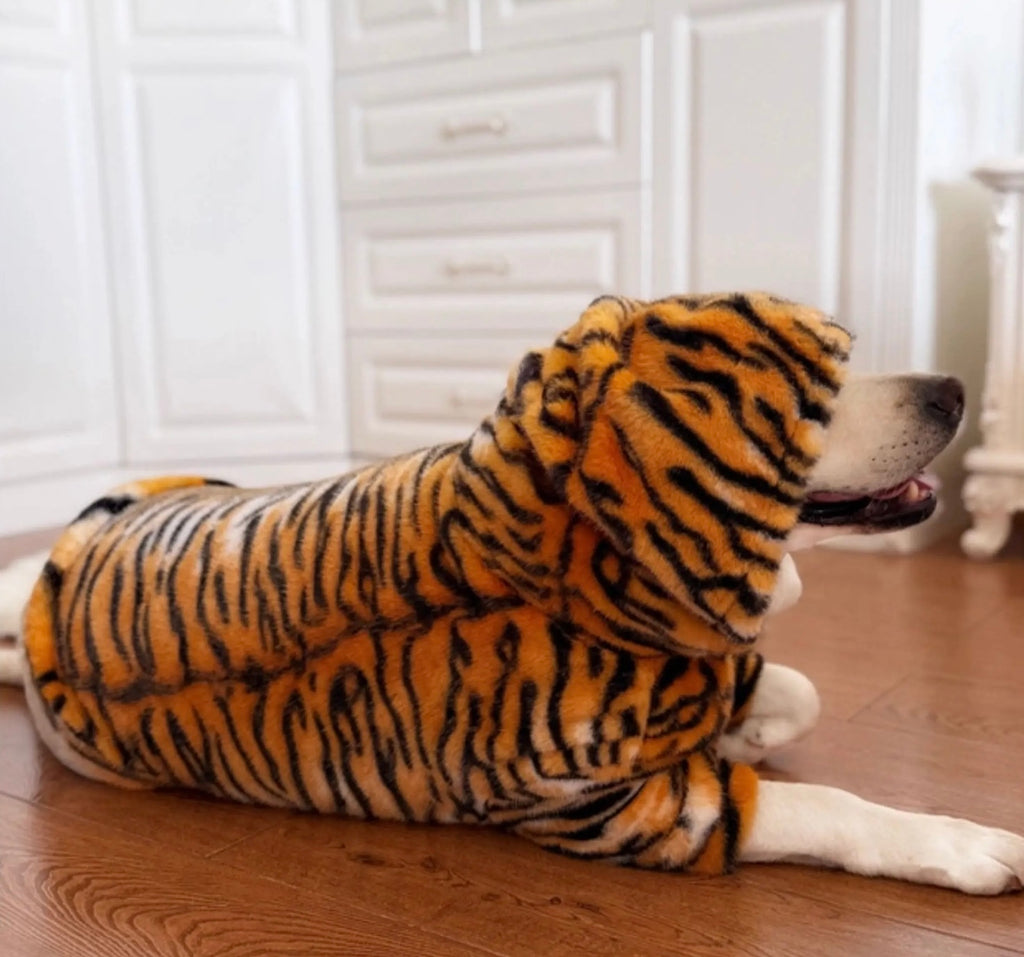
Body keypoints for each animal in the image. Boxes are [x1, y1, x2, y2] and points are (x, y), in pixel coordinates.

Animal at [2, 292, 1023, 894]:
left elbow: (796, 689)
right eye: (806, 404)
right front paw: (964, 844)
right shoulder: (628, 813)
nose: (953, 388)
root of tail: (66, 560)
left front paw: (748, 726)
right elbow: (835, 807)